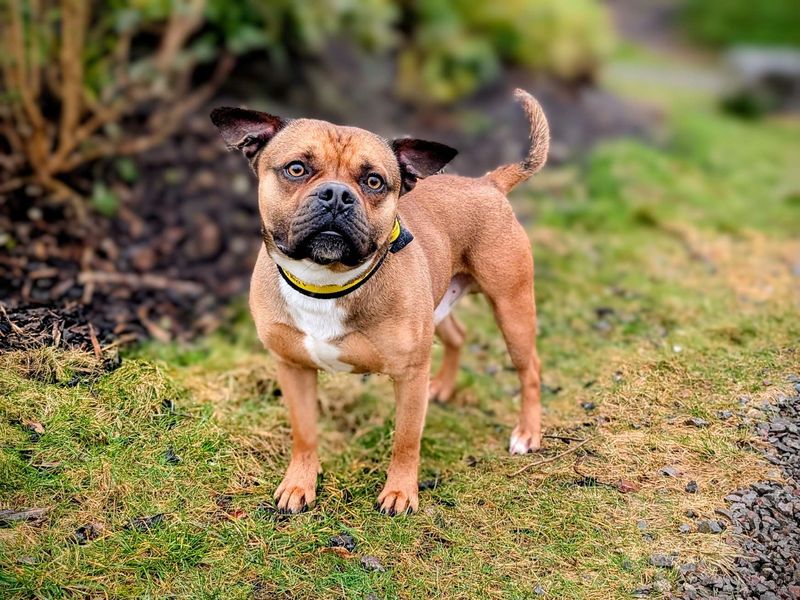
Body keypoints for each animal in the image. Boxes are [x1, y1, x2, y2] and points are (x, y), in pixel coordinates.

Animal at [211, 89, 552, 516]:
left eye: (373, 181)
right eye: (296, 169)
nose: (337, 195)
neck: (326, 282)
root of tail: (487, 183)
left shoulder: (408, 376)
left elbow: (406, 440)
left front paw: (400, 492)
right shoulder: (293, 368)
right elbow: (304, 433)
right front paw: (300, 483)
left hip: (512, 308)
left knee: (530, 370)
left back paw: (527, 432)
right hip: (440, 304)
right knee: (457, 335)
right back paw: (443, 387)